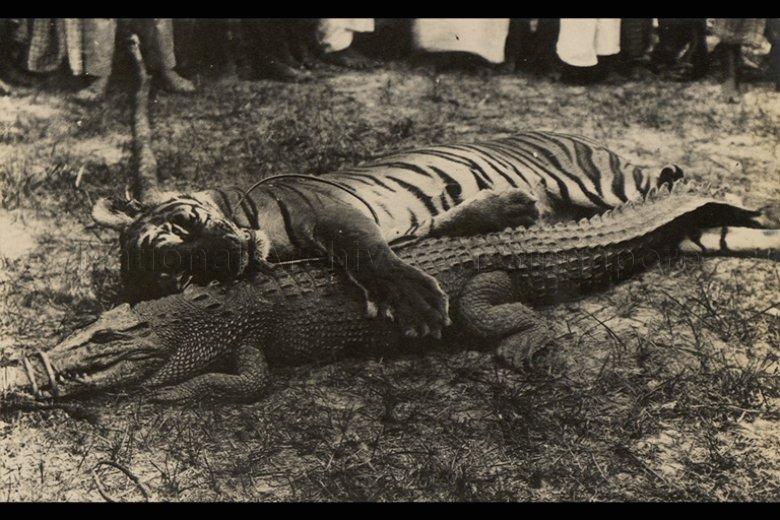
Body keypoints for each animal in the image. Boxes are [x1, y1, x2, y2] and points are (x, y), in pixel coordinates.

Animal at [92, 130, 687, 340]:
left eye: (185, 224)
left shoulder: (336, 212)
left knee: (666, 183)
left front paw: (417, 304)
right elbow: (428, 232)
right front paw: (507, 207)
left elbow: (371, 254)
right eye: (180, 279)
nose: (228, 255)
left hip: (602, 180)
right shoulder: (399, 227)